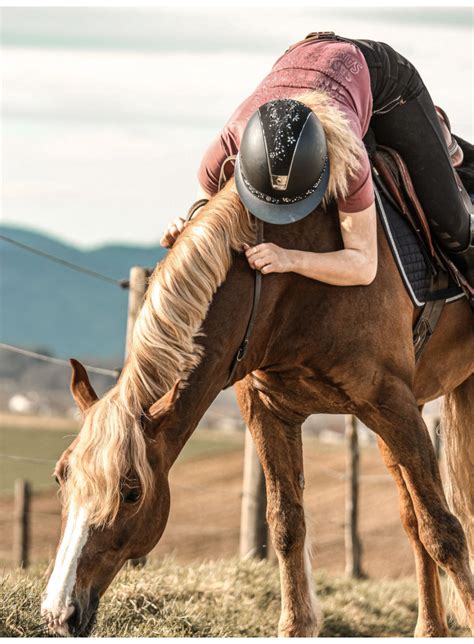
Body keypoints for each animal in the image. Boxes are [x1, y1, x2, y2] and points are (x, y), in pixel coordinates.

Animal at [41, 92, 474, 640]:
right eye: (61, 476)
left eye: (132, 491)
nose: (58, 613)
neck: (288, 285)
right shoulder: (272, 411)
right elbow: (288, 523)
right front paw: (296, 622)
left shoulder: (390, 404)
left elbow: (446, 531)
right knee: (411, 520)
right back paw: (430, 627)